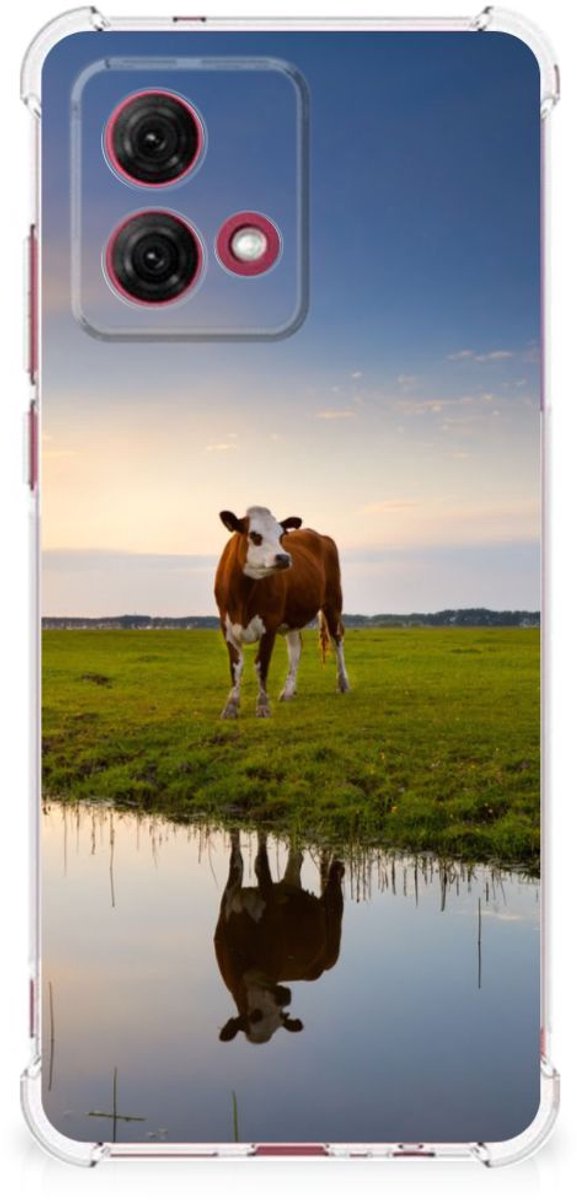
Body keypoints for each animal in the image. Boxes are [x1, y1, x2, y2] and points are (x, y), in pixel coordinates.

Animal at [214, 506, 350, 719]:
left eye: (281, 535)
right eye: (254, 535)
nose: (284, 557)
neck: (243, 596)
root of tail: (319, 535)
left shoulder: (269, 624)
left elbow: (261, 665)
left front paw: (263, 706)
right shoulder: (227, 626)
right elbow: (236, 666)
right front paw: (231, 706)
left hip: (333, 602)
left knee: (337, 639)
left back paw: (343, 683)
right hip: (293, 617)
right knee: (296, 648)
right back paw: (288, 691)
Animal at [214, 830, 345, 1045]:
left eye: (281, 1016)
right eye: (255, 1015)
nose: (285, 997)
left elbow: (260, 863)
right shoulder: (228, 900)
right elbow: (237, 860)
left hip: (333, 931)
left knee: (334, 890)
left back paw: (338, 867)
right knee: (296, 858)